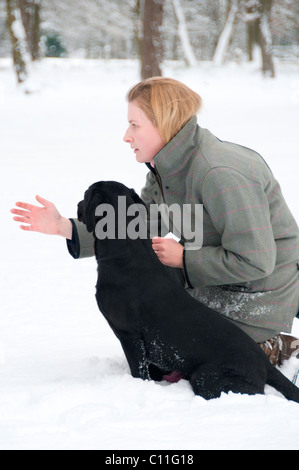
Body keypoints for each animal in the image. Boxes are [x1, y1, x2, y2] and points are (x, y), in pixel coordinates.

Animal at [78, 182, 299, 402]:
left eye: (86, 194)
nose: (79, 204)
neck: (125, 249)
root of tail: (265, 364)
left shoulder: (129, 335)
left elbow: (138, 372)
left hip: (205, 376)